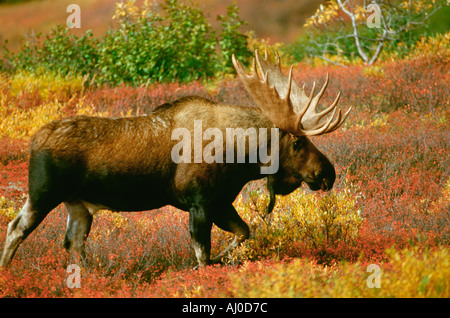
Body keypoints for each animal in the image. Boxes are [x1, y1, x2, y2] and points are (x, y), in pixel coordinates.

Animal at [0, 50, 350, 268]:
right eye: (298, 142)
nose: (328, 173)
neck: (241, 157)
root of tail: (34, 140)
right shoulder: (199, 201)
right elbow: (202, 253)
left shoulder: (220, 201)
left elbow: (243, 232)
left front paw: (224, 260)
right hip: (43, 193)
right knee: (15, 228)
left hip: (78, 205)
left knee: (73, 243)